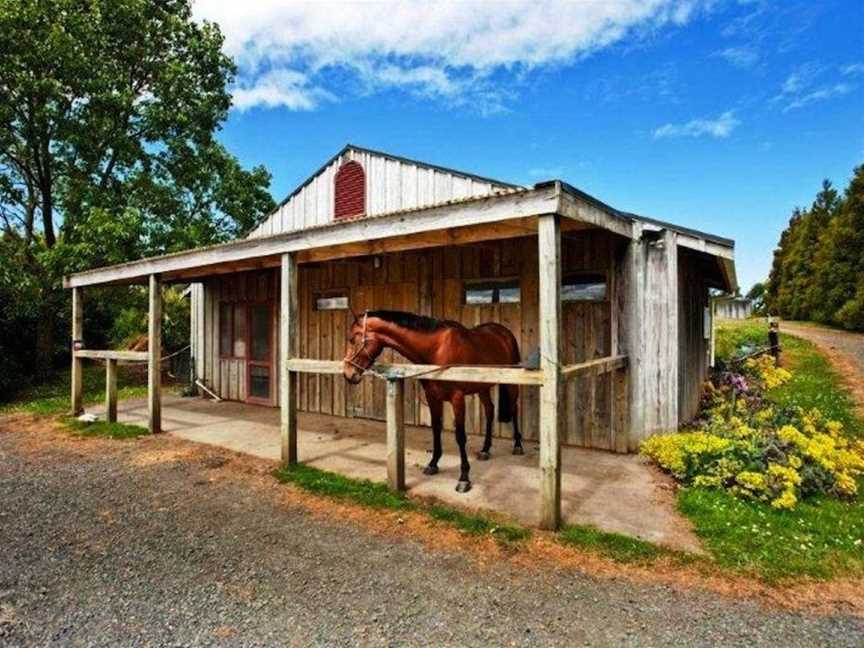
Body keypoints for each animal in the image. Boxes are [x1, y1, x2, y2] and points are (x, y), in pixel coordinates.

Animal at [342, 312, 520, 494]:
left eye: (352, 339)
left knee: (514, 409)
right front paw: (433, 464)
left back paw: (518, 446)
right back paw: (485, 450)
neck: (436, 349)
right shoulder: (432, 397)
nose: (348, 373)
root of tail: (504, 333)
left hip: (512, 383)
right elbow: (435, 429)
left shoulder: (457, 398)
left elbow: (460, 436)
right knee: (490, 410)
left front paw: (464, 478)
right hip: (482, 386)